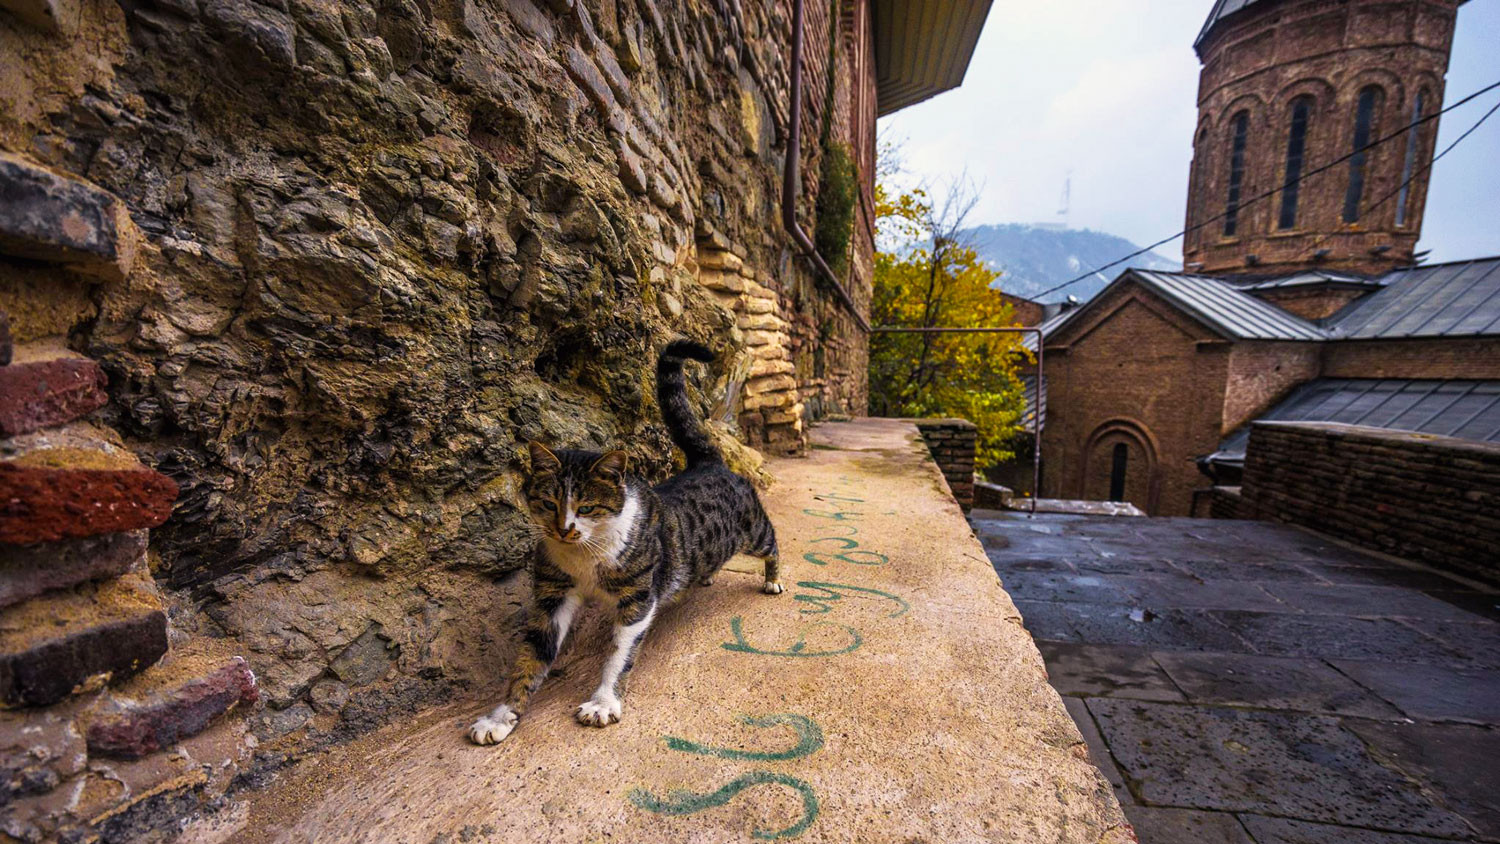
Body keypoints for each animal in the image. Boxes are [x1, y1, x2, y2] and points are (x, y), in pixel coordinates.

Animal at [468, 338, 786, 746]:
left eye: (586, 507)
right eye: (548, 503)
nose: (563, 529)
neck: (584, 554)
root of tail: (709, 463)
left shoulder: (638, 599)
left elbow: (620, 653)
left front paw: (603, 703)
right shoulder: (553, 594)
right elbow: (530, 659)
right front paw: (499, 717)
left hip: (752, 530)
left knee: (771, 542)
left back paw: (773, 580)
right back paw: (706, 575)